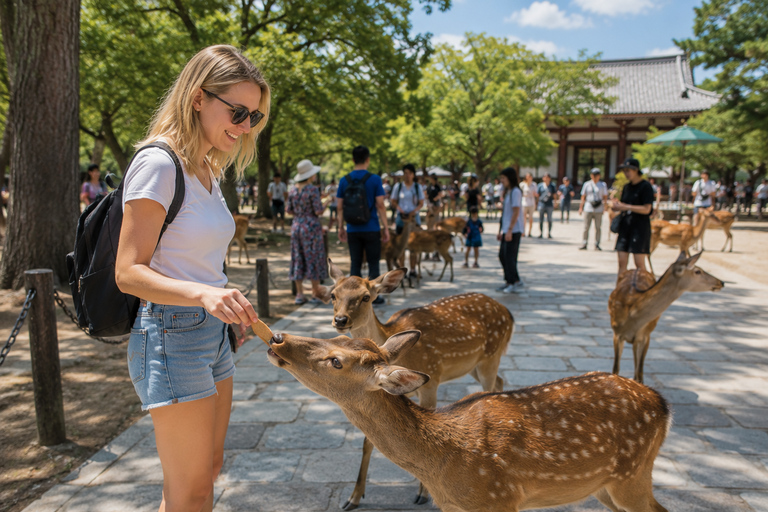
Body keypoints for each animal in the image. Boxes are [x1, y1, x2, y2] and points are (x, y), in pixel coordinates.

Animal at [267, 330, 672, 512]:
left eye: (336, 361)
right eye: (339, 334)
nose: (277, 339)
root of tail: (663, 405)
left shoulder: (498, 500)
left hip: (632, 475)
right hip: (606, 485)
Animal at [318, 261, 514, 509]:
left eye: (366, 297)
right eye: (333, 294)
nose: (341, 320)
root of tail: (508, 312)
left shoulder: (432, 379)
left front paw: (422, 493)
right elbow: (367, 441)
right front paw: (353, 497)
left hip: (491, 356)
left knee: (494, 383)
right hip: (473, 365)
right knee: (500, 380)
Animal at [609, 252, 724, 384]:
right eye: (698, 271)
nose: (721, 282)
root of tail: (636, 269)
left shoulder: (646, 335)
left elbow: (640, 373)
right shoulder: (617, 333)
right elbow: (615, 369)